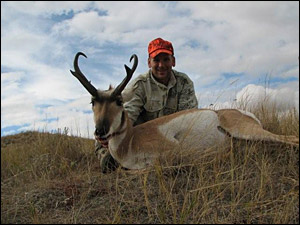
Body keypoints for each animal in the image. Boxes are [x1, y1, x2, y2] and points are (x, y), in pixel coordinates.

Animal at [69, 51, 298, 170]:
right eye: (92, 102)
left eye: (118, 101)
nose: (100, 131)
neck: (130, 139)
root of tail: (241, 113)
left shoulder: (170, 152)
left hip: (246, 131)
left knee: (292, 138)